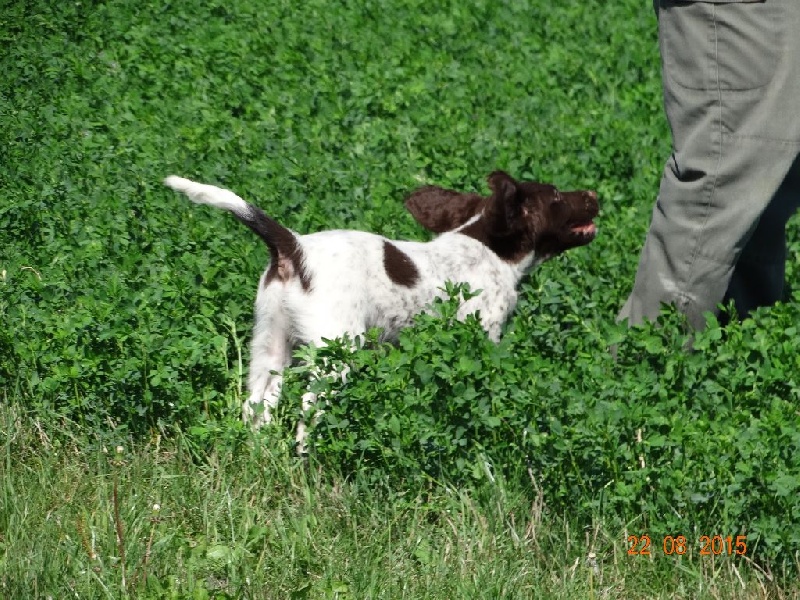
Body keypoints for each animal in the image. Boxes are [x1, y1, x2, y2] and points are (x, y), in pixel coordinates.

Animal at [164, 171, 600, 442]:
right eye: (556, 196)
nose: (595, 195)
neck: (490, 250)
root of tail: (294, 246)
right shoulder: (482, 335)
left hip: (270, 344)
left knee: (258, 405)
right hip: (336, 350)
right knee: (308, 410)